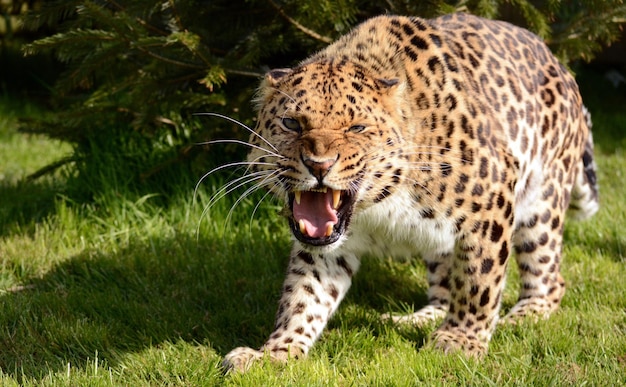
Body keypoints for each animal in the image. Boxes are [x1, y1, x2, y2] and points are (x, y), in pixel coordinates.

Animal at [218, 12, 596, 372]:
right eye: (292, 123)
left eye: (357, 127)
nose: (319, 165)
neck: (380, 203)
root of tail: (559, 63)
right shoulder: (323, 246)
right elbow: (304, 295)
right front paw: (274, 353)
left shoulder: (492, 193)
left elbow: (479, 278)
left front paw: (462, 340)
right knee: (445, 282)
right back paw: (418, 318)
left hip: (542, 203)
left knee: (548, 276)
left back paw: (521, 316)